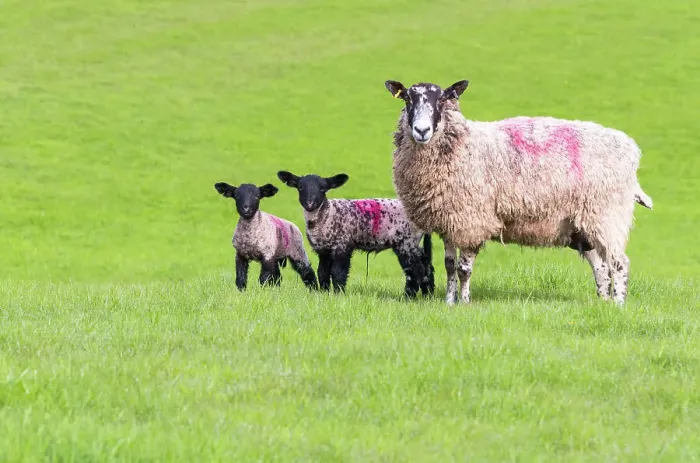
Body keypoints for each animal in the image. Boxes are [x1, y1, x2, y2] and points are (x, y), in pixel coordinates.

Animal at [276, 170, 435, 298]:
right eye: (300, 188)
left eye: (322, 189)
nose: (310, 203)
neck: (327, 215)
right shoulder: (324, 250)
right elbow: (322, 272)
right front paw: (324, 293)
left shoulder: (343, 245)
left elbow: (338, 272)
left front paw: (338, 294)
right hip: (414, 243)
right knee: (427, 266)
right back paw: (427, 295)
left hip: (405, 242)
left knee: (416, 270)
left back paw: (408, 297)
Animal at [384, 79, 653, 305]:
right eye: (407, 99)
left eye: (441, 100)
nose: (421, 131)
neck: (462, 146)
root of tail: (631, 150)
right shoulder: (451, 220)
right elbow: (449, 266)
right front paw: (449, 302)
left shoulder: (473, 220)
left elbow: (464, 269)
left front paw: (465, 302)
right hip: (585, 226)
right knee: (601, 267)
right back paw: (602, 303)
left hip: (608, 215)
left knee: (619, 263)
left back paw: (618, 305)